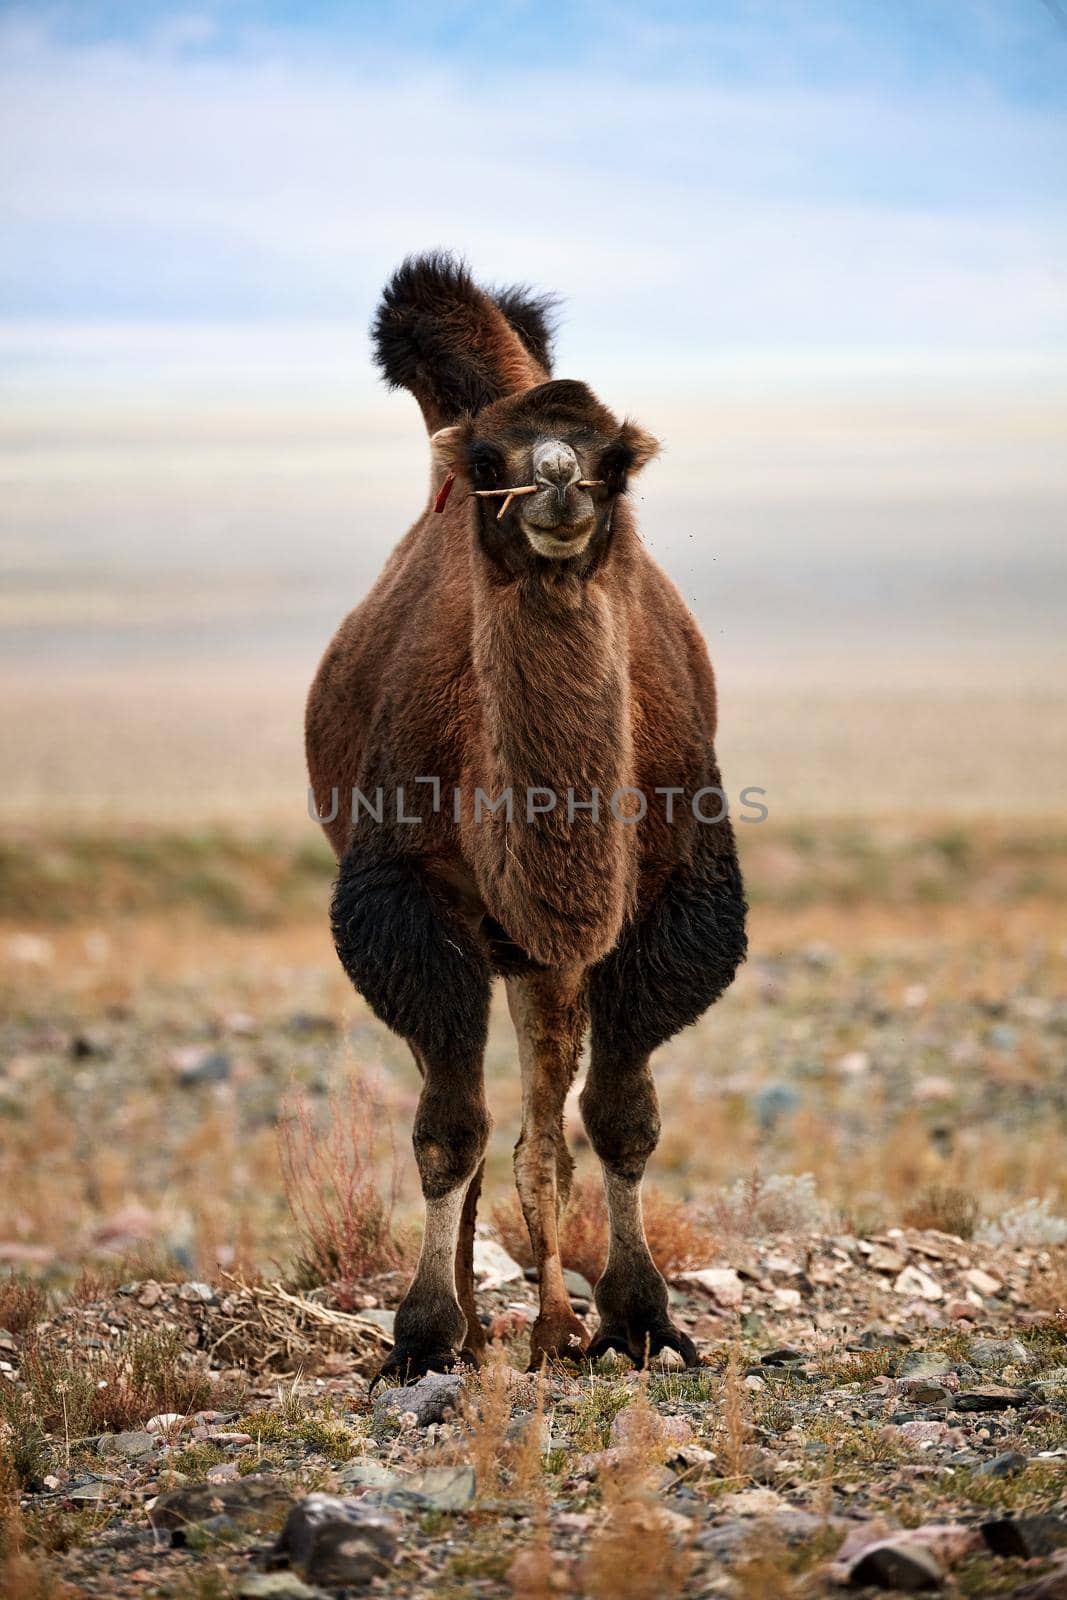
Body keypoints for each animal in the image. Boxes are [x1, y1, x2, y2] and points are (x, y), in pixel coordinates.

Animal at [303, 252, 748, 1376]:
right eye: (489, 457)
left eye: (615, 459)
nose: (555, 483)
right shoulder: (407, 902)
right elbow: (446, 1127)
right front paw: (422, 1332)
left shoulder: (669, 901)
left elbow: (620, 1115)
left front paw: (641, 1318)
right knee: (482, 1107)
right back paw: (484, 1320)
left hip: (542, 955)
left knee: (547, 1106)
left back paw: (554, 1321)